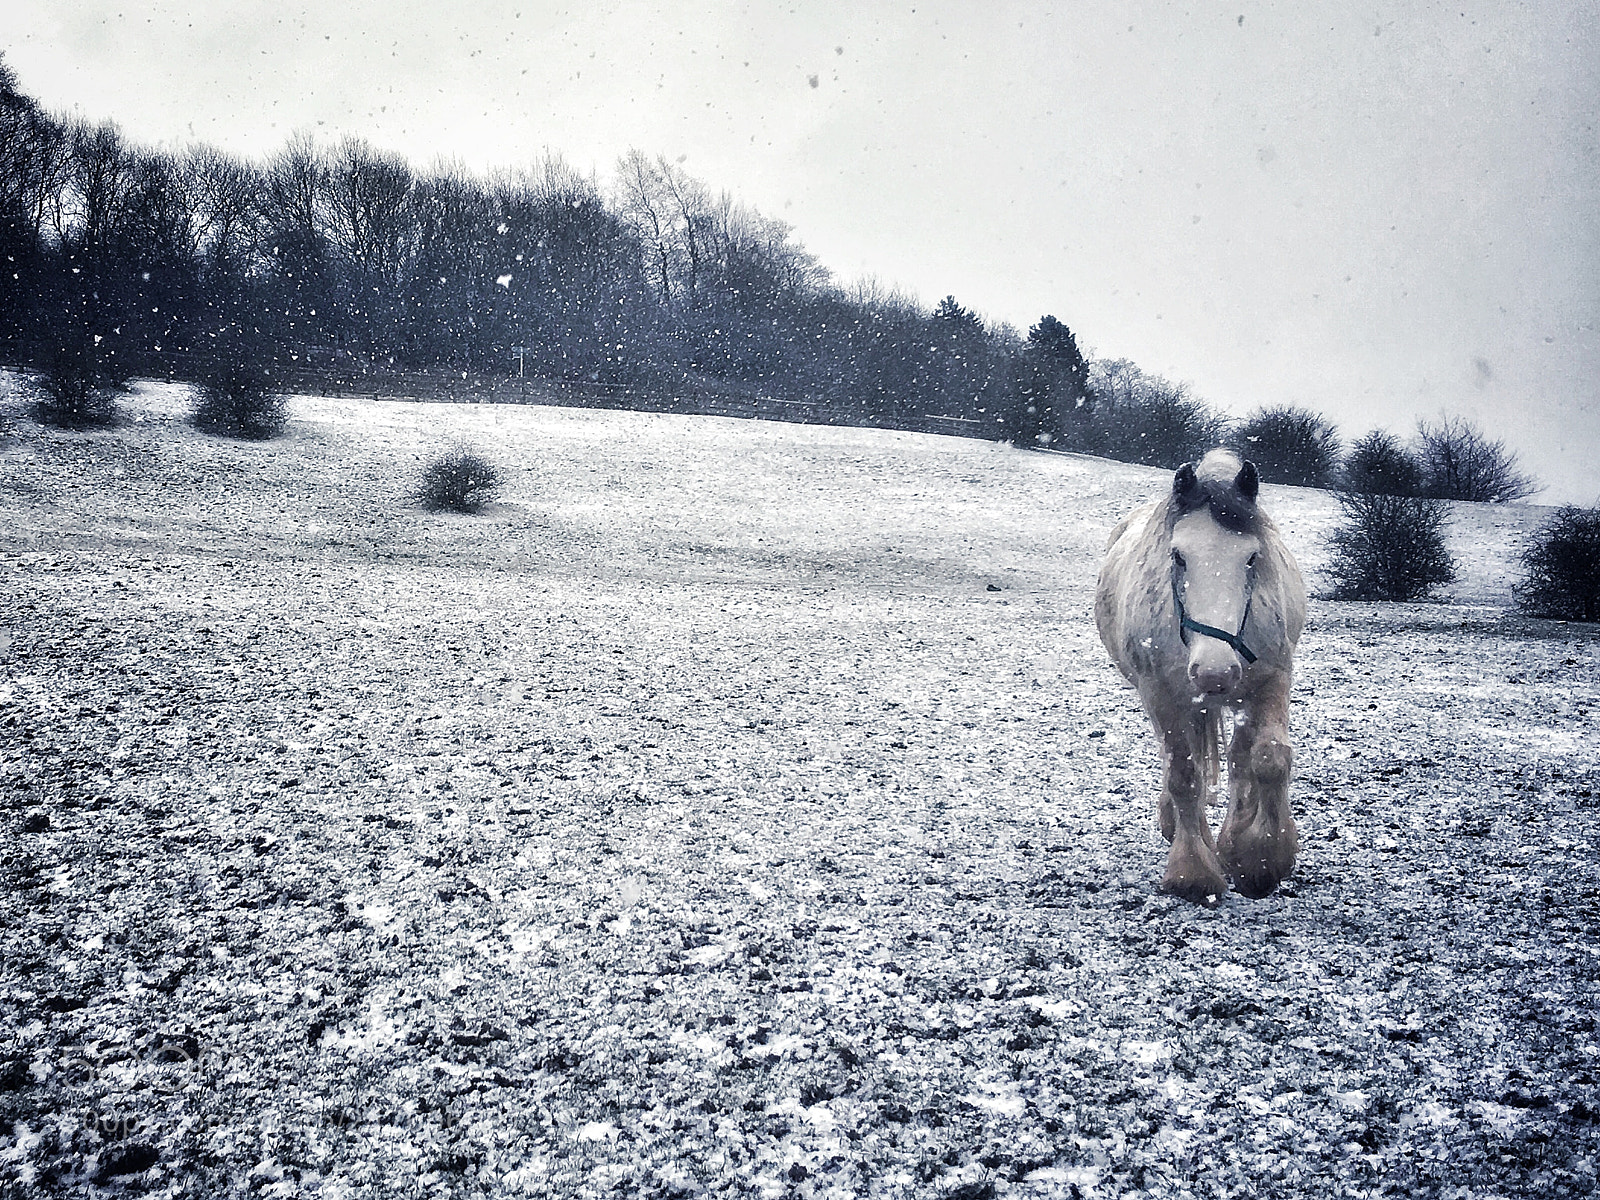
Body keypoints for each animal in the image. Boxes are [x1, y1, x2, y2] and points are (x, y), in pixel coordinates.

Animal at [1094, 449, 1307, 904]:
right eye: (1178, 557)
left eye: (1251, 558)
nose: (1214, 672)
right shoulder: (1161, 694)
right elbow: (1184, 775)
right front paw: (1193, 871)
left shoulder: (1270, 681)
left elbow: (1268, 758)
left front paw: (1260, 858)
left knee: (1240, 760)